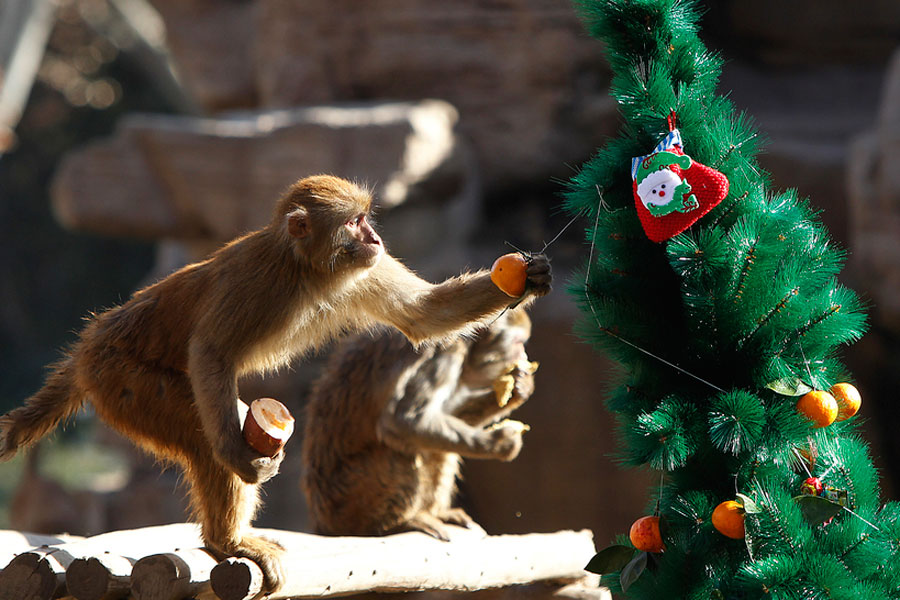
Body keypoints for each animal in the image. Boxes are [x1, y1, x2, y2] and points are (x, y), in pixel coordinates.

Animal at [302, 308, 540, 540]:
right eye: (518, 343)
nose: (524, 356)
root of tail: (323, 523)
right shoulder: (446, 352)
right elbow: (403, 421)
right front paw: (501, 442)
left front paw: (517, 390)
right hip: (348, 500)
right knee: (400, 452)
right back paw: (394, 524)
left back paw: (436, 513)